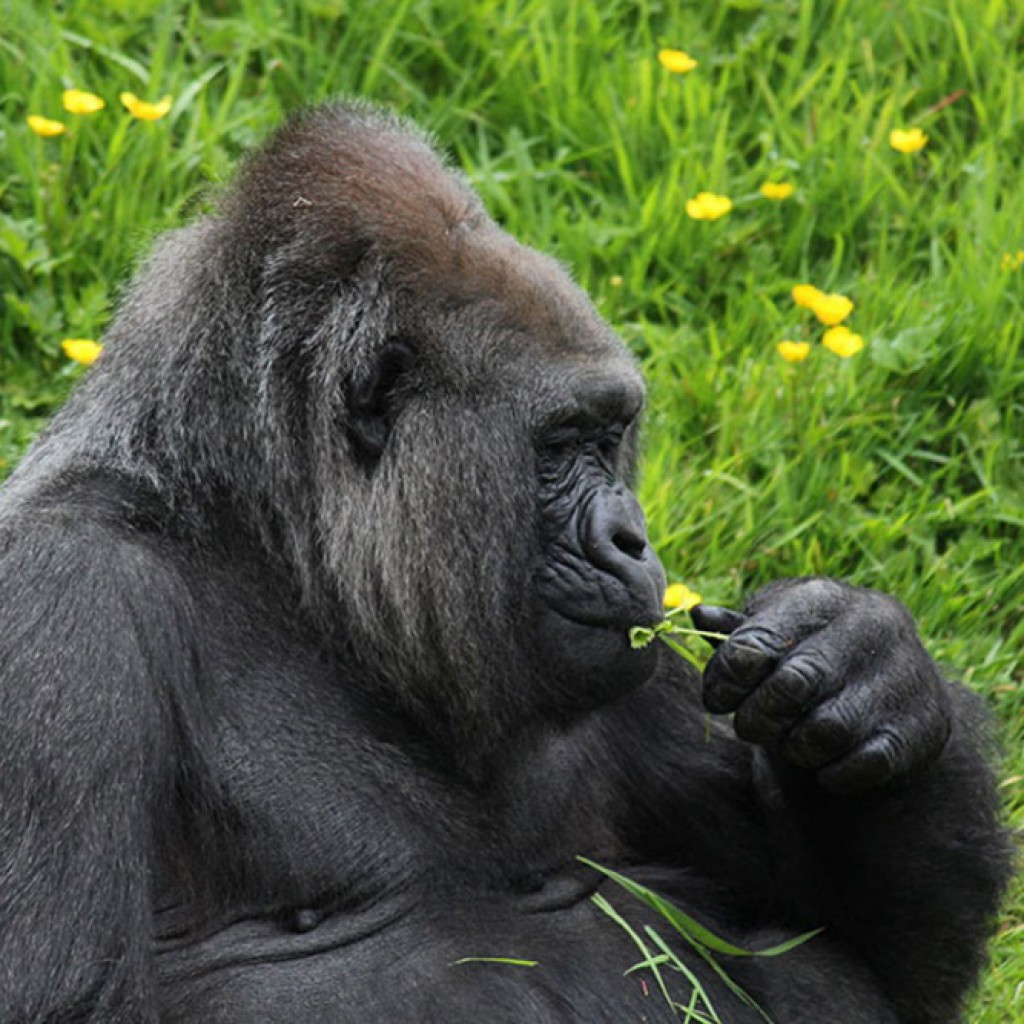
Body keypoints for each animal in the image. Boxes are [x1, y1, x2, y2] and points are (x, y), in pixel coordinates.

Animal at [0, 97, 1007, 1024]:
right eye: (561, 443)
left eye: (610, 436)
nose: (633, 538)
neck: (278, 549)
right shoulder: (57, 603)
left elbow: (866, 950)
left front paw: (863, 662)